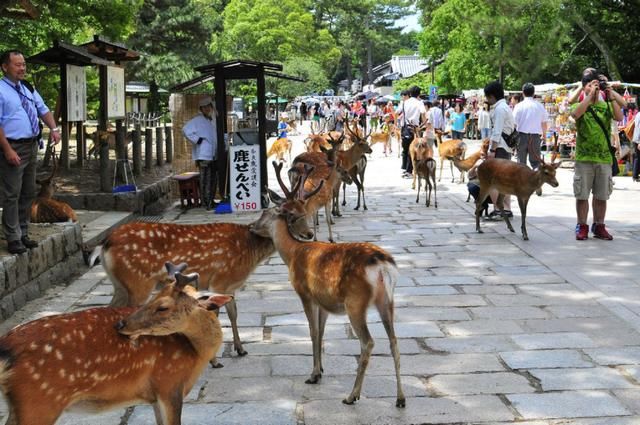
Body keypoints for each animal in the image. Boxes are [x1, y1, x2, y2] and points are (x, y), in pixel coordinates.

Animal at [0, 263, 232, 425]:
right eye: (153, 298)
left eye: (162, 307)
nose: (121, 323)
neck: (195, 354)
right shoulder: (169, 382)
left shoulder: (156, 395)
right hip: (39, 402)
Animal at [90, 188, 315, 362]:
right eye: (291, 215)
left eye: (305, 211)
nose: (310, 234)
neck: (248, 253)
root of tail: (105, 244)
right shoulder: (220, 279)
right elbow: (215, 313)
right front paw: (214, 360)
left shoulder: (230, 286)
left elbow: (233, 313)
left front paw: (240, 349)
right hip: (137, 282)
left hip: (120, 284)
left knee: (109, 309)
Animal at [248, 161, 406, 408]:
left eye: (265, 212)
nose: (251, 226)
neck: (292, 254)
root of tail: (383, 265)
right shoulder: (323, 301)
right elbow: (321, 333)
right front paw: (321, 368)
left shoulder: (305, 293)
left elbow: (312, 331)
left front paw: (313, 375)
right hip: (387, 300)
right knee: (394, 341)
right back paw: (400, 398)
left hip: (355, 302)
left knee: (368, 342)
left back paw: (352, 395)